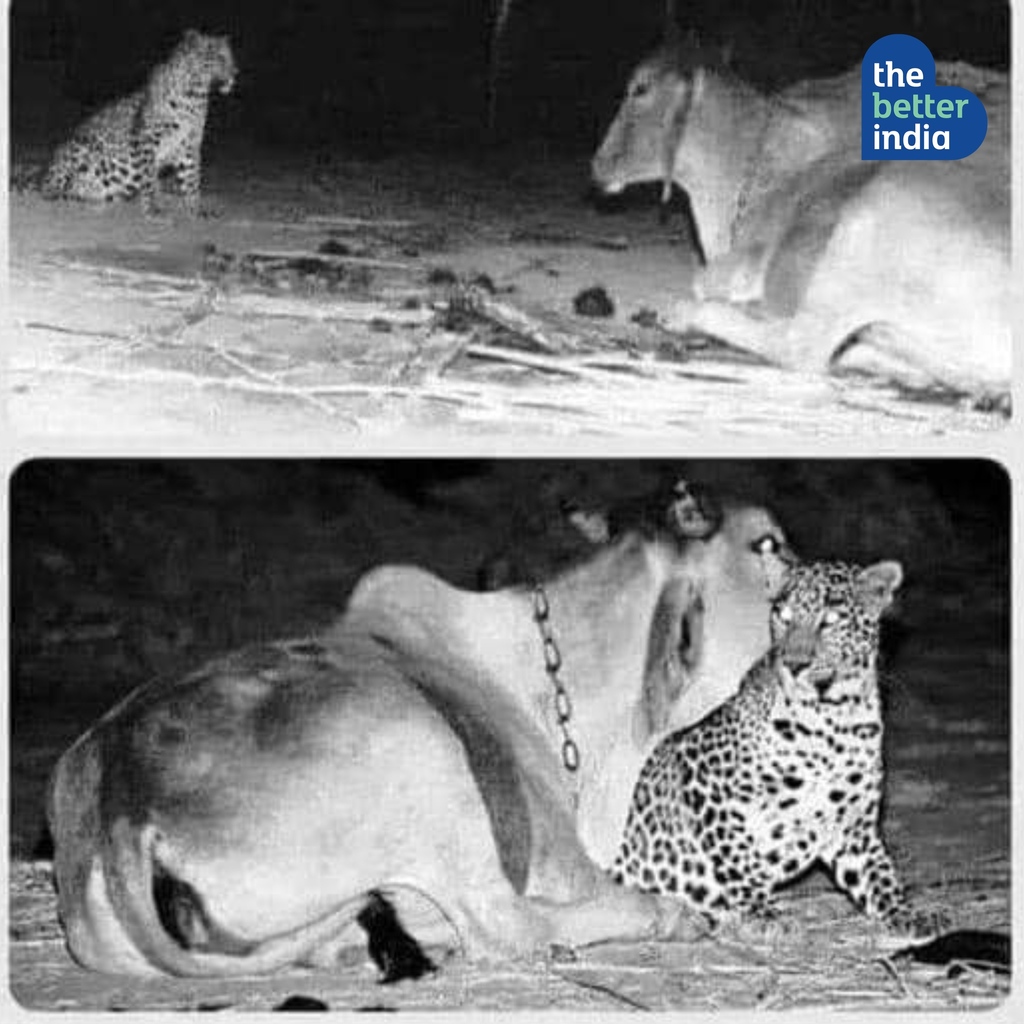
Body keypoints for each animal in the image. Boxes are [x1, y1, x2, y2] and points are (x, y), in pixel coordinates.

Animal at [41, 29, 236, 216]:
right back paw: (62, 194)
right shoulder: (147, 140)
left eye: (230, 57)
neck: (195, 98)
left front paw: (196, 209)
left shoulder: (189, 144)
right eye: (219, 57)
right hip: (76, 147)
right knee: (51, 188)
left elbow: (192, 178)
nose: (236, 72)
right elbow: (149, 178)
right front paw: (153, 209)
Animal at [47, 482, 793, 978]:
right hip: (427, 756)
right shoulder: (563, 860)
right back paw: (667, 917)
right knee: (504, 924)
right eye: (768, 543)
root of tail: (122, 796)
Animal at [612, 558, 931, 937]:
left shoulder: (854, 829)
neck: (834, 720)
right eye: (784, 615)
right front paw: (763, 912)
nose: (794, 664)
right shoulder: (703, 779)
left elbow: (879, 873)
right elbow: (738, 854)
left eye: (830, 619)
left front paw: (905, 913)